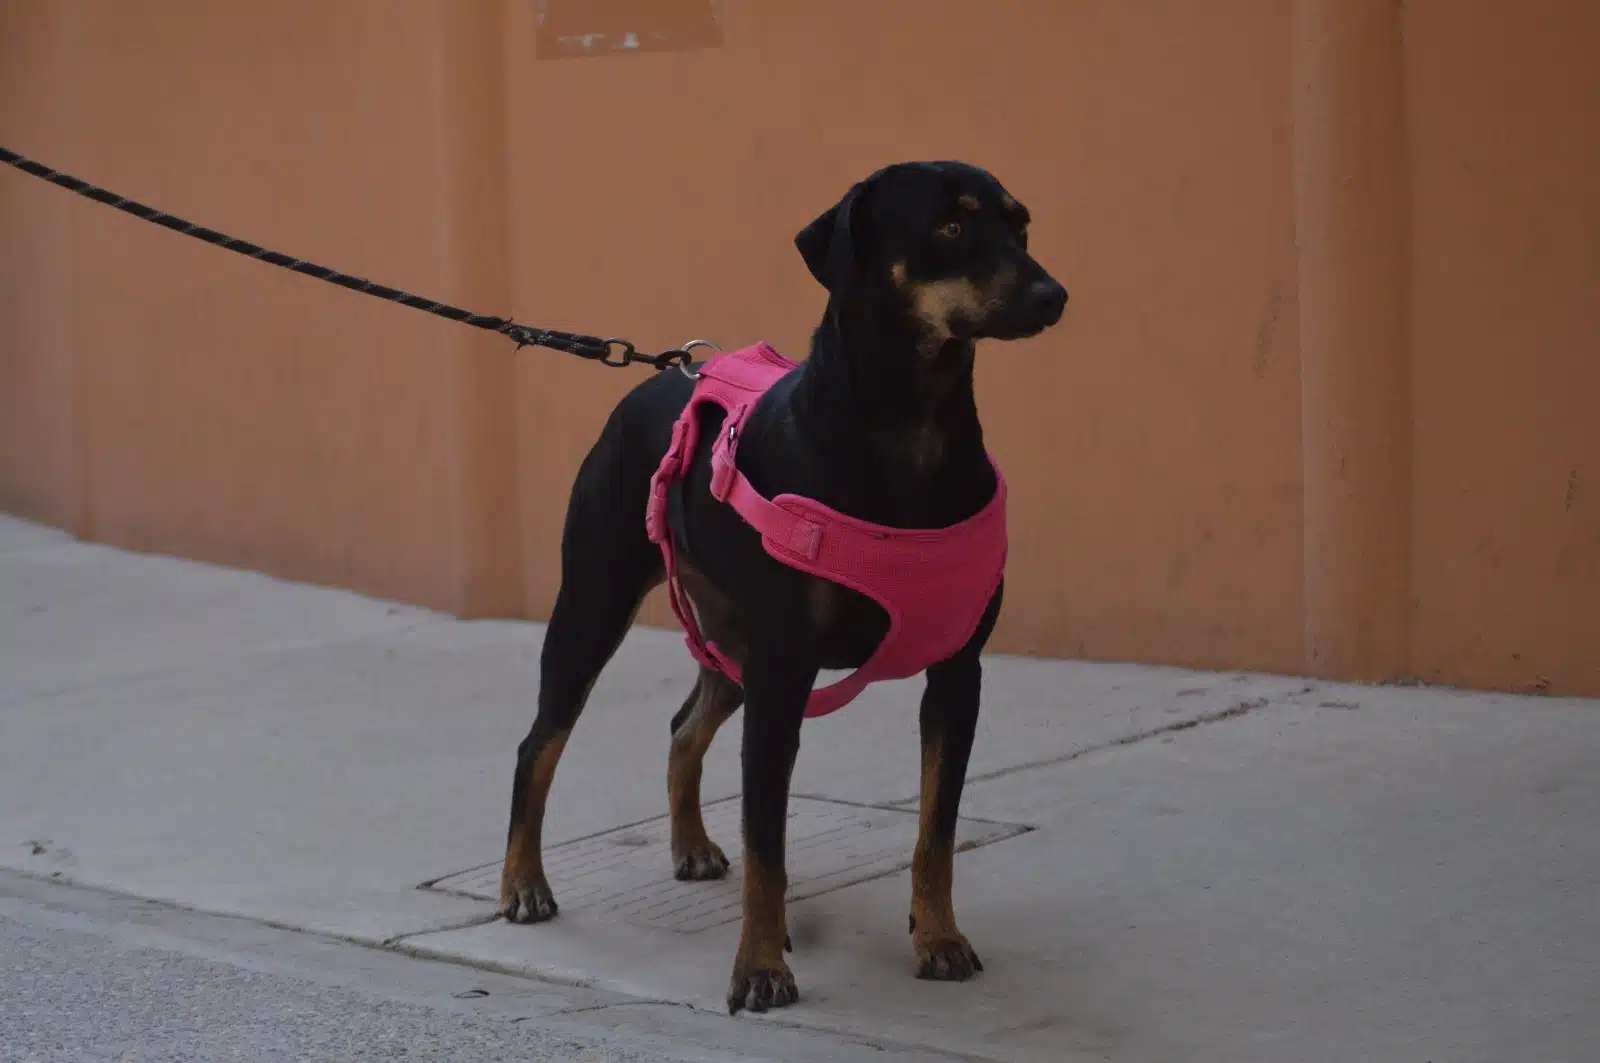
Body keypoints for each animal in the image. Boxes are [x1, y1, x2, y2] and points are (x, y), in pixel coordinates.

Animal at [499, 157, 1068, 1011]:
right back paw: (524, 882)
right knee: (540, 741)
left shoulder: (954, 673)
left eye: (1020, 223)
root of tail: (656, 382)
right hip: (595, 605)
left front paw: (938, 937)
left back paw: (692, 844)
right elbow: (768, 842)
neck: (911, 423)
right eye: (951, 226)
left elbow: (936, 831)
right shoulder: (784, 671)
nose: (1053, 294)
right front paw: (761, 968)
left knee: (684, 725)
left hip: (733, 641)